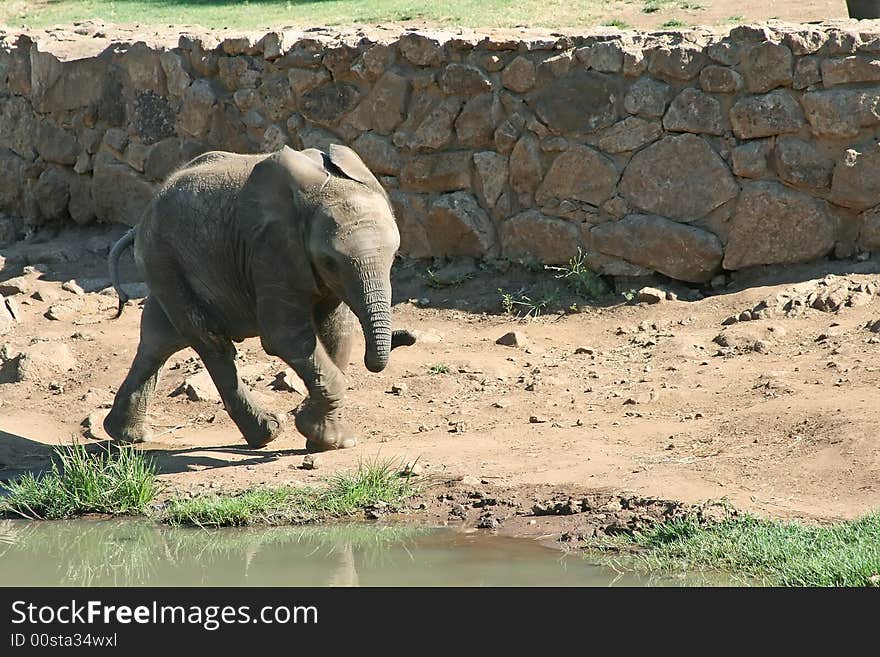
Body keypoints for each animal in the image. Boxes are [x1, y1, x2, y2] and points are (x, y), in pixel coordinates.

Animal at [104, 144, 416, 452]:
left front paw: (321, 439)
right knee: (211, 343)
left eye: (394, 256)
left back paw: (127, 436)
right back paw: (267, 434)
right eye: (329, 262)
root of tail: (140, 221)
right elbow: (285, 337)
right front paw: (327, 438)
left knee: (160, 339)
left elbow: (337, 332)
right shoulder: (271, 249)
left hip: (166, 265)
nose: (409, 336)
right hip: (165, 259)